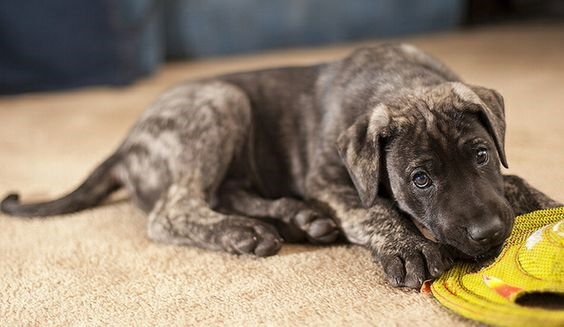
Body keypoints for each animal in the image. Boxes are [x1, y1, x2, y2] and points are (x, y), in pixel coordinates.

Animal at [2, 44, 560, 290]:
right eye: (420, 180)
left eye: (482, 155)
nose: (488, 234)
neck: (399, 80)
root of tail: (125, 143)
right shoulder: (330, 177)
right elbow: (374, 210)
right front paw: (409, 247)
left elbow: (514, 182)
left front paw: (543, 202)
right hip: (221, 100)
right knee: (173, 210)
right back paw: (244, 233)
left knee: (221, 193)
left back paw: (295, 220)